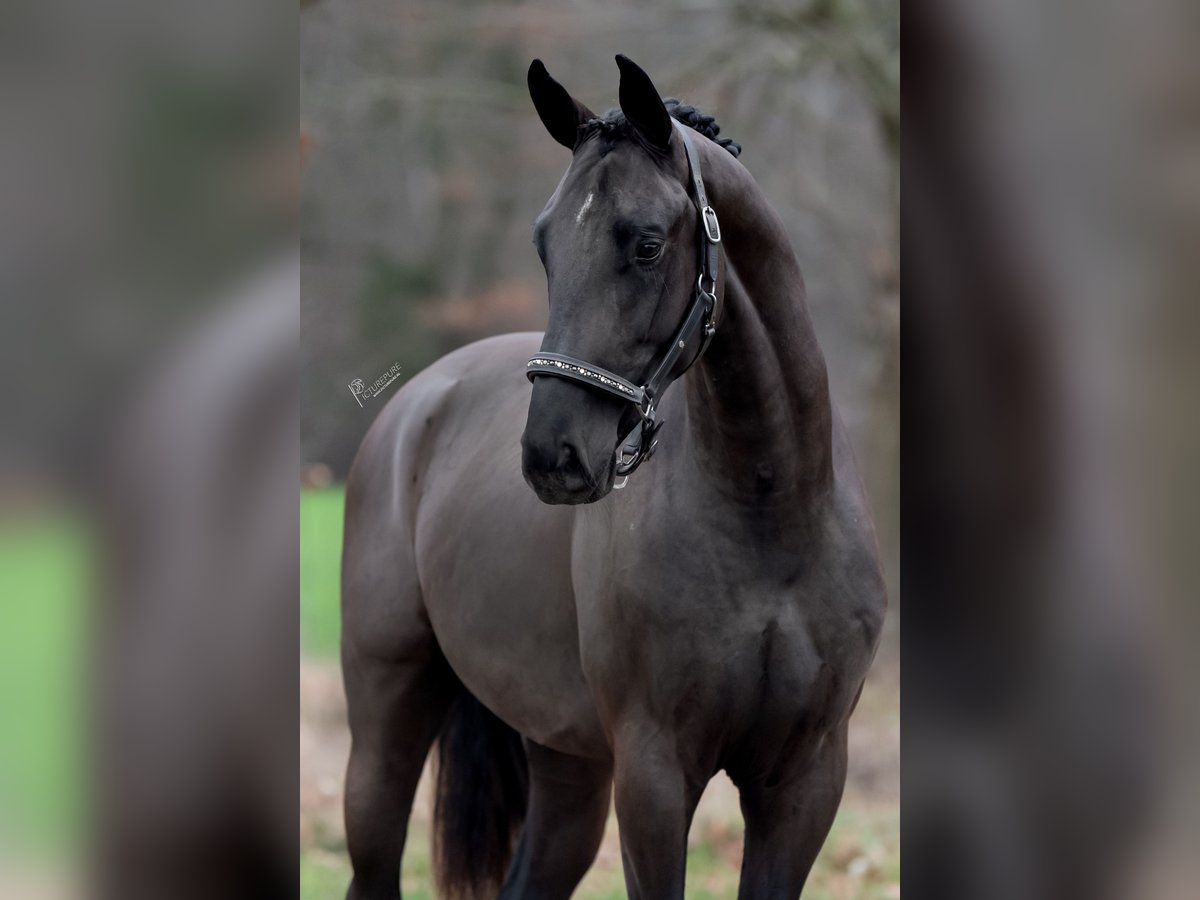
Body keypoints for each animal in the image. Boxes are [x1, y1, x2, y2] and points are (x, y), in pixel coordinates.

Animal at [340, 55, 887, 900]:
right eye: (544, 245)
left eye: (648, 245)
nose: (553, 456)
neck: (773, 514)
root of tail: (419, 403)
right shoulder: (654, 778)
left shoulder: (803, 781)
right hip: (385, 724)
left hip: (568, 768)